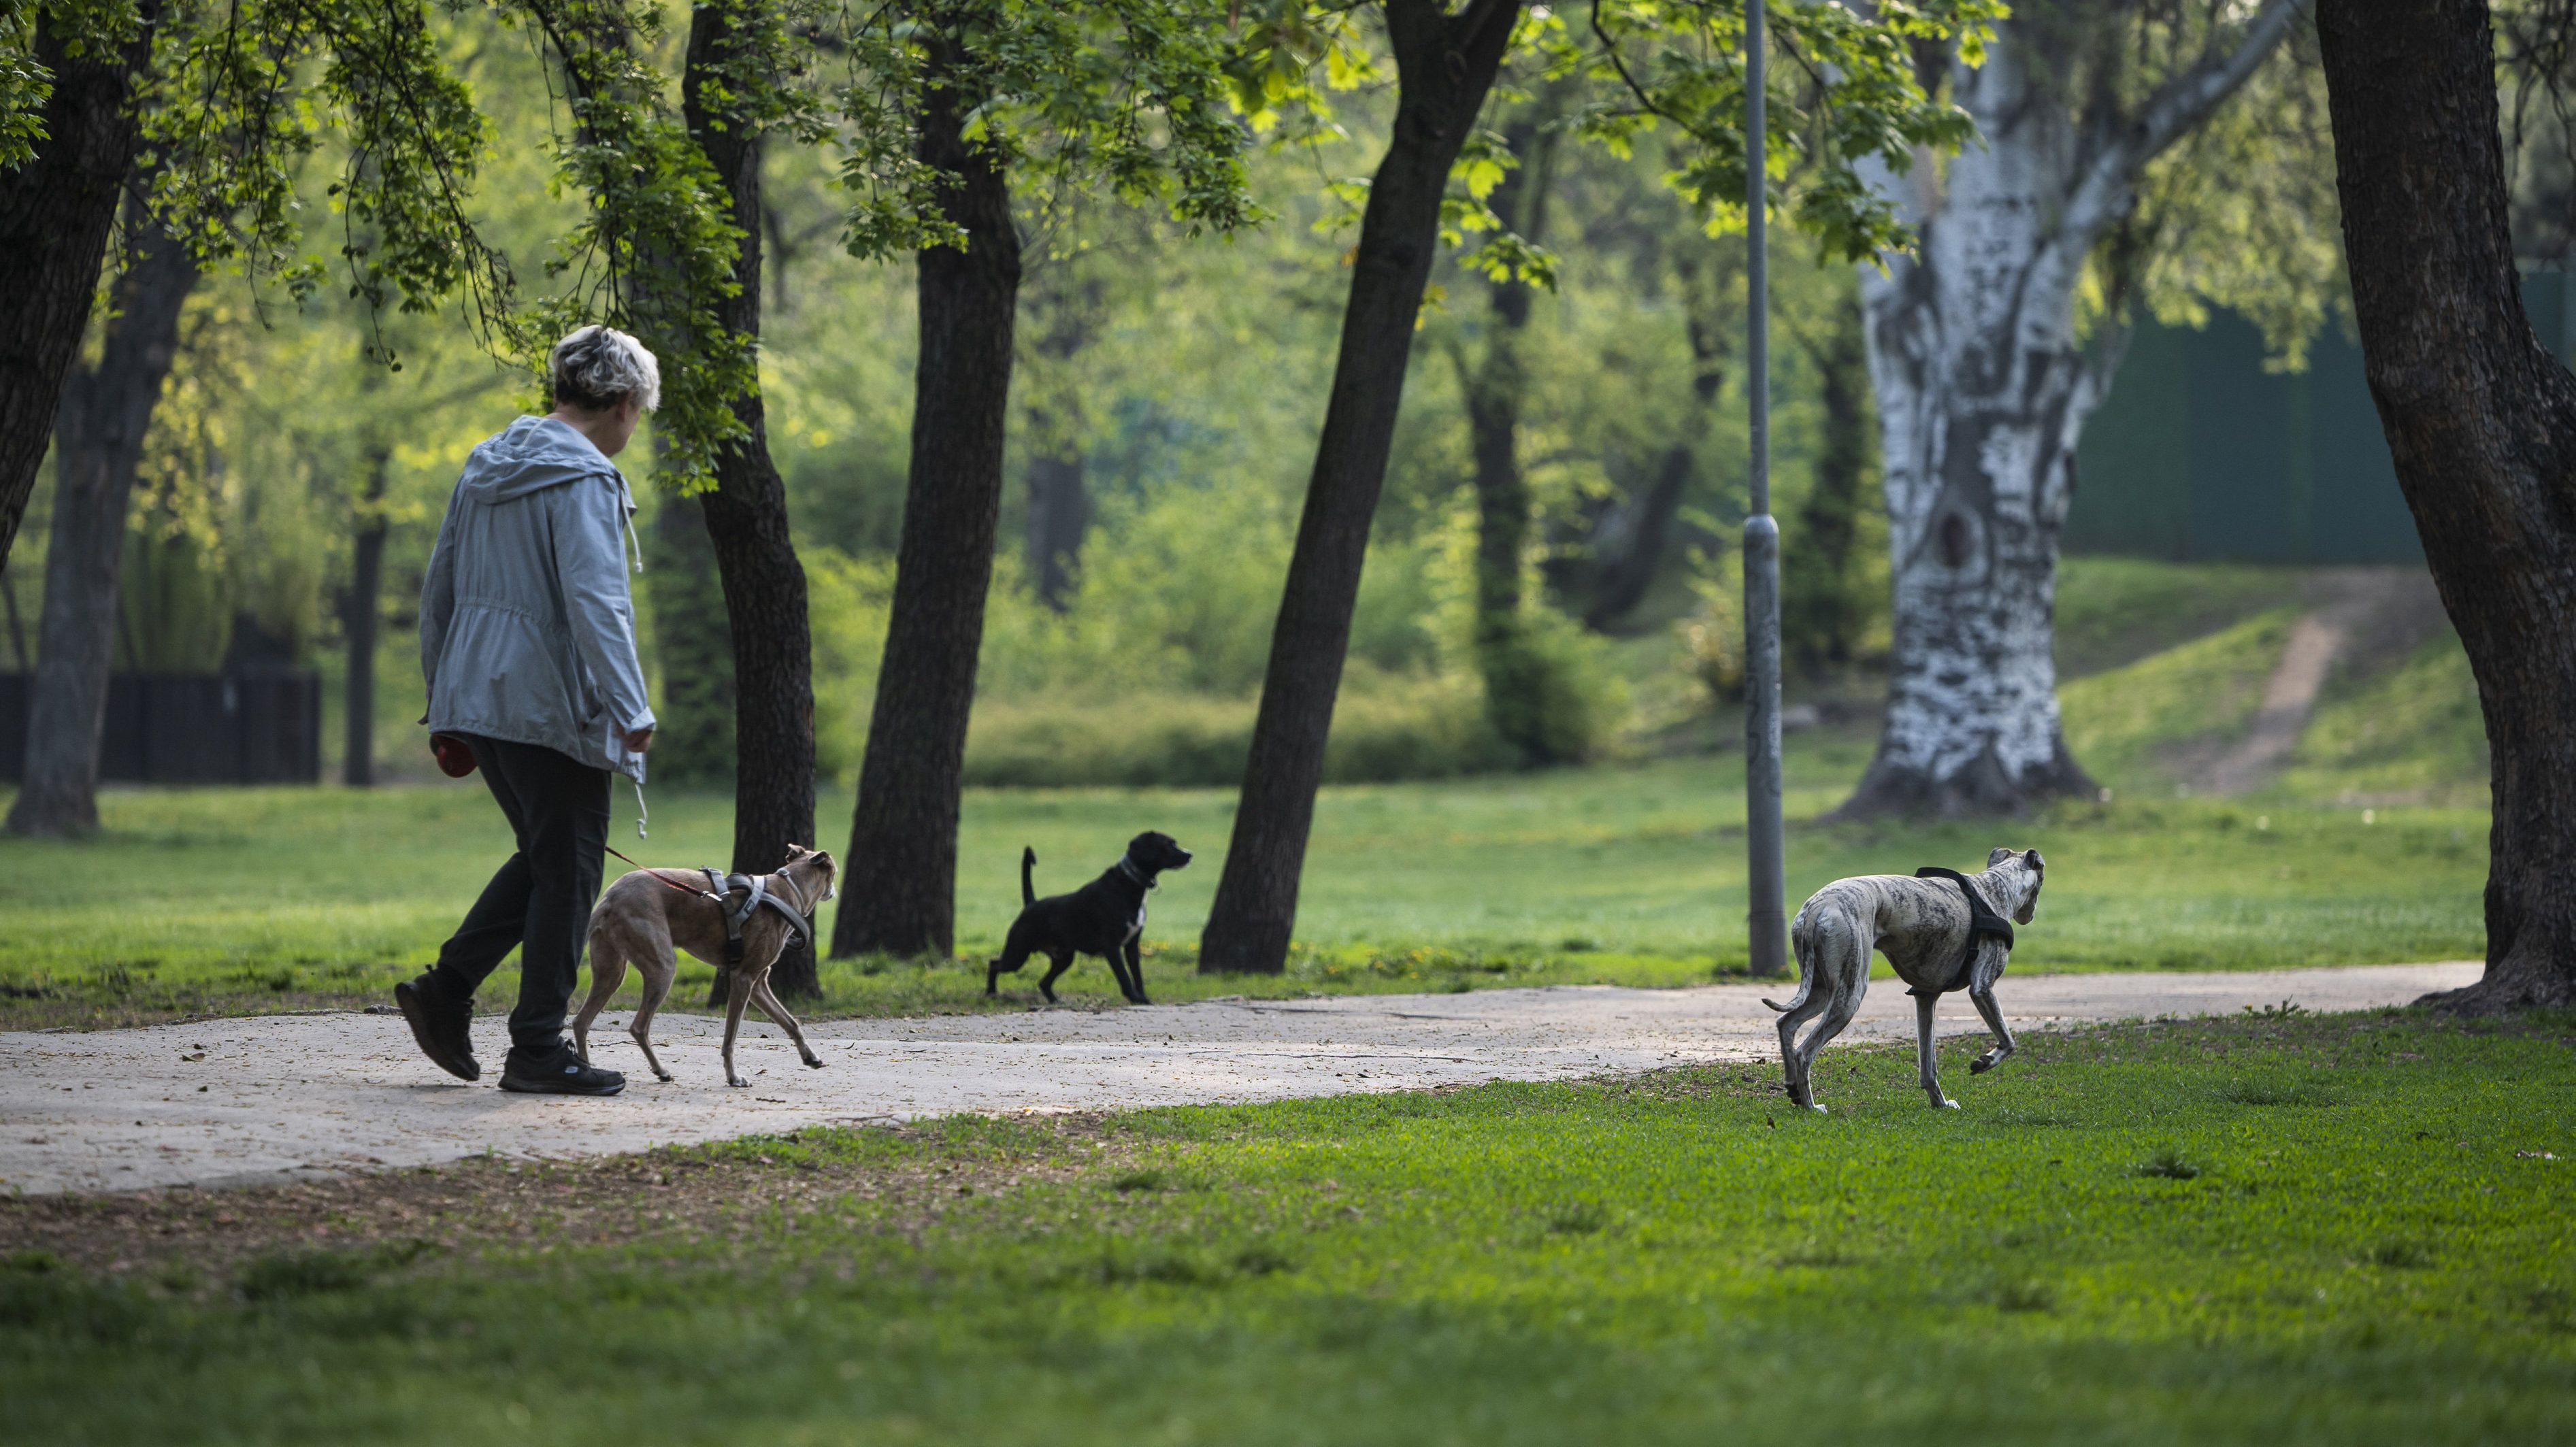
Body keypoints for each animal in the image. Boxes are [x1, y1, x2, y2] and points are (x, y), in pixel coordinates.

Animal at [989, 829, 1190, 999]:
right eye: (1168, 845)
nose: (1190, 854)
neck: (1128, 884)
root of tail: (1031, 904)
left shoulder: (1132, 946)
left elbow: (1137, 976)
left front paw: (1143, 999)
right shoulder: (1112, 947)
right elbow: (1124, 977)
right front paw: (1135, 999)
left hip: (1063, 958)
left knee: (1044, 983)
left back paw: (1056, 1001)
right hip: (1017, 953)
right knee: (994, 964)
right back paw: (991, 992)